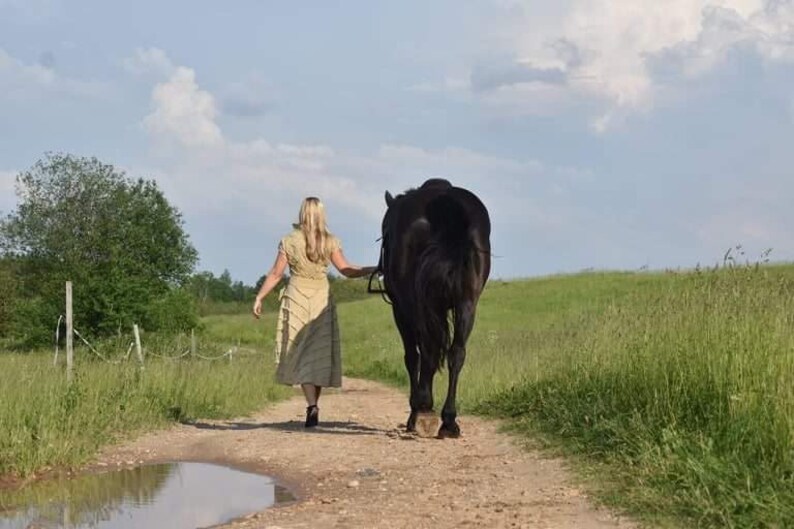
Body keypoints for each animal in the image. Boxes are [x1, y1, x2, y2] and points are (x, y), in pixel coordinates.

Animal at [374, 178, 491, 438]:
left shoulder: (401, 310)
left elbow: (413, 357)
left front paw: (417, 410)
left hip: (414, 306)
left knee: (426, 351)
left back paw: (423, 411)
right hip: (467, 303)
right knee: (456, 353)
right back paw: (448, 421)